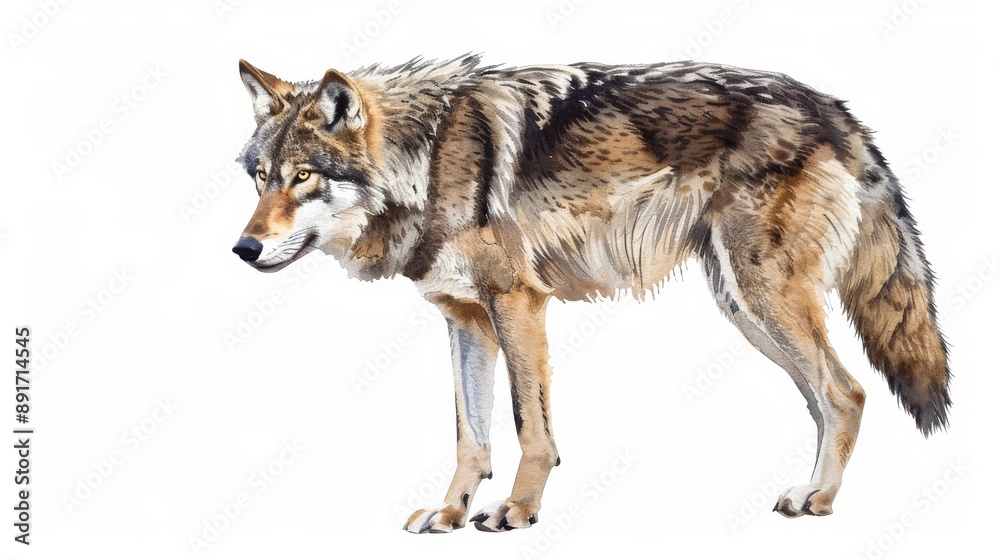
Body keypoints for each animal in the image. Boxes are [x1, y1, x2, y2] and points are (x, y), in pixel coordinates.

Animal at [230, 55, 951, 533]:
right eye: (261, 177)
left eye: (303, 177)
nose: (243, 249)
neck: (426, 161)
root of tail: (834, 108)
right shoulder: (466, 319)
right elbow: (471, 435)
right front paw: (450, 512)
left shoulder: (517, 302)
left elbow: (529, 426)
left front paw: (517, 510)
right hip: (745, 310)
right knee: (829, 399)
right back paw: (813, 492)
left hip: (762, 299)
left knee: (846, 392)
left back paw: (818, 501)